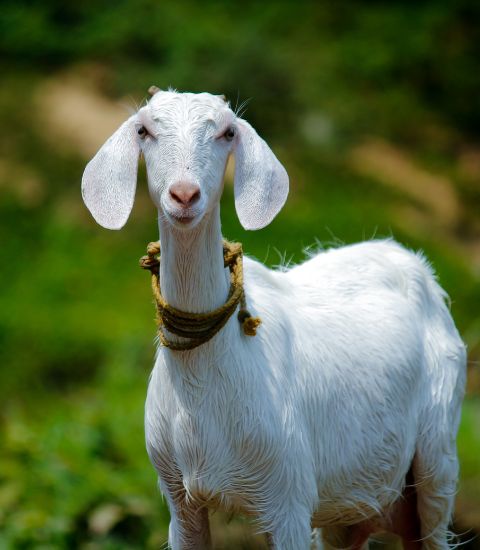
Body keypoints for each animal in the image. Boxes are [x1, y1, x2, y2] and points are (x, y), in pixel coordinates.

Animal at [81, 88, 464, 548]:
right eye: (144, 129)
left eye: (227, 132)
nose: (185, 195)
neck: (207, 378)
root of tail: (411, 259)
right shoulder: (179, 498)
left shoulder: (288, 498)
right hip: (350, 507)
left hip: (438, 456)